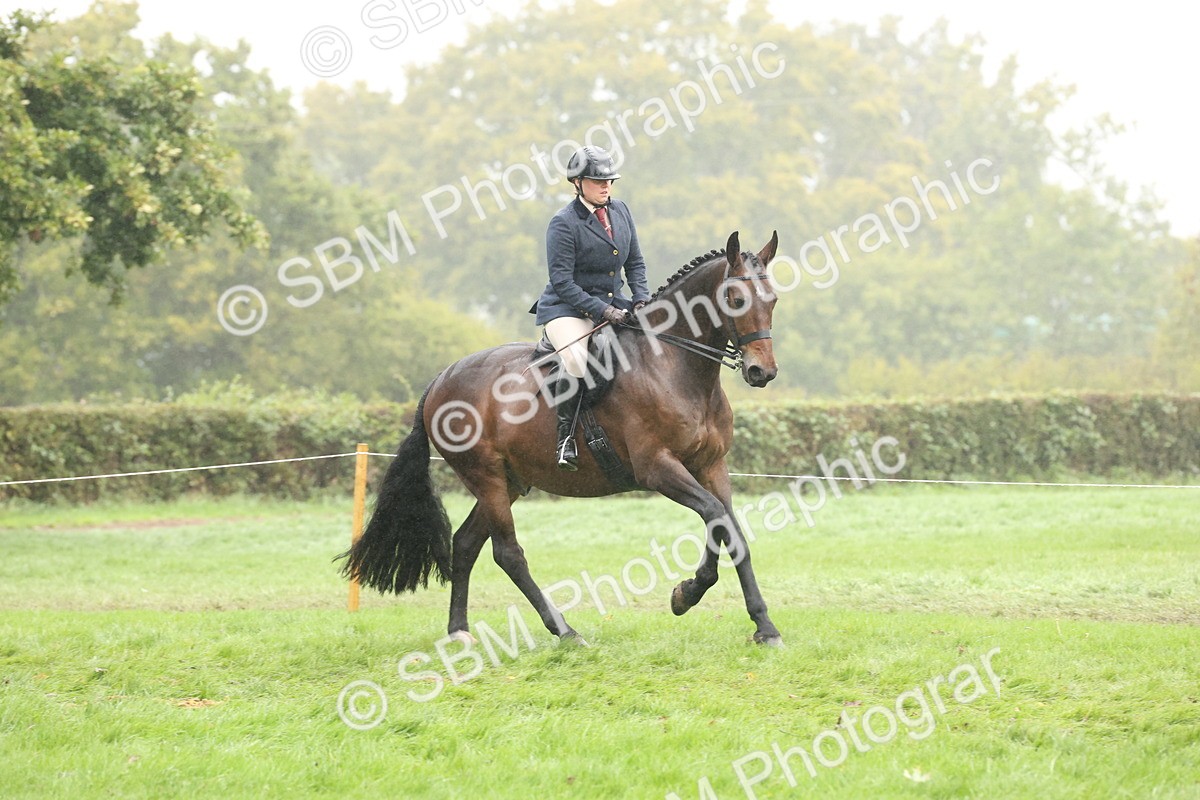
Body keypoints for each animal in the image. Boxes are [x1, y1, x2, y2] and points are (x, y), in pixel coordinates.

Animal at [339, 230, 784, 646]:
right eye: (734, 298)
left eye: (773, 300)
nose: (762, 372)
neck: (675, 367)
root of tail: (439, 380)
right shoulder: (657, 468)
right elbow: (714, 515)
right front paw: (689, 595)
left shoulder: (711, 466)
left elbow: (729, 529)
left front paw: (759, 624)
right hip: (485, 475)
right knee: (508, 553)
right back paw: (565, 631)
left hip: (508, 481)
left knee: (465, 544)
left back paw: (459, 631)